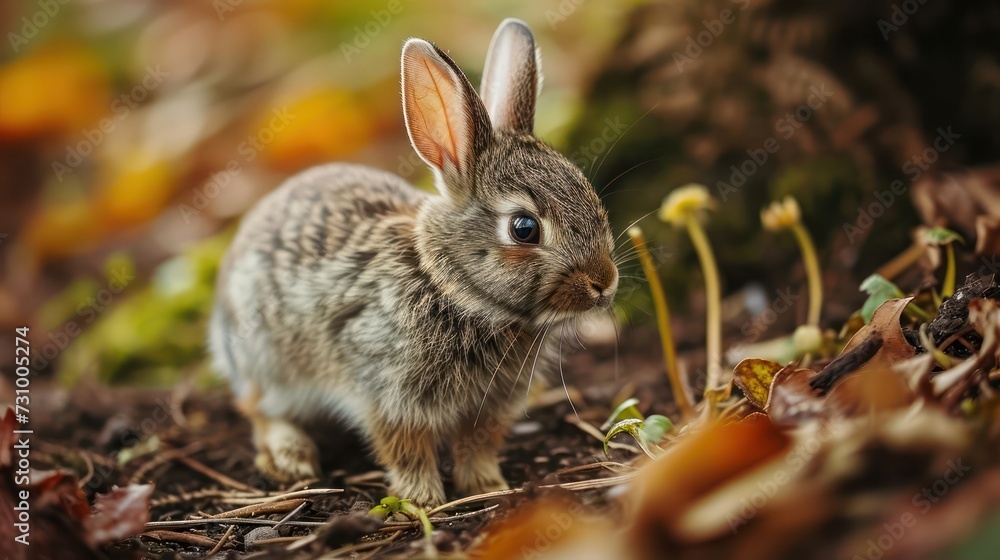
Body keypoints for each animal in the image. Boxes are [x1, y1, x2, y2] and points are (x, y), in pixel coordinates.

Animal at [208, 18, 619, 506]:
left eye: (589, 193)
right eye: (524, 228)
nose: (605, 283)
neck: (450, 287)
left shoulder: (491, 405)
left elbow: (478, 443)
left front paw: (487, 485)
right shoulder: (386, 390)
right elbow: (404, 446)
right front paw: (423, 499)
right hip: (265, 358)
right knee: (255, 406)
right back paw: (291, 456)